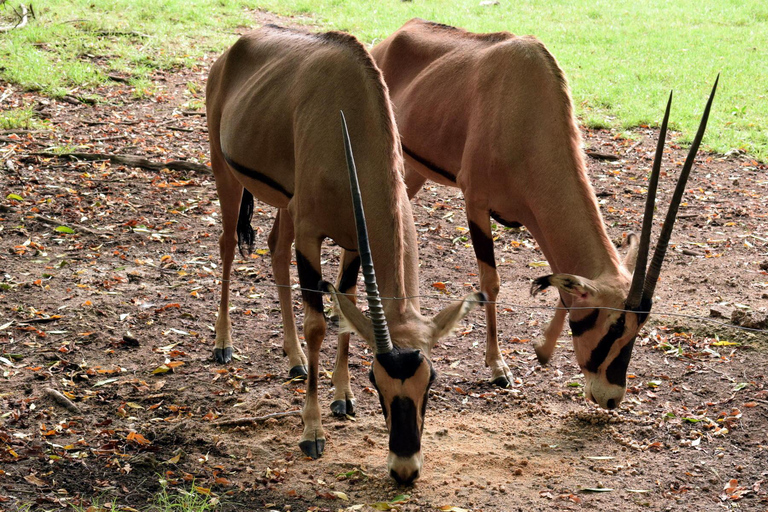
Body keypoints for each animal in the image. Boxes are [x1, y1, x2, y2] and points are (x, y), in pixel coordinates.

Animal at [204, 25, 480, 484]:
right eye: (376, 378)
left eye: (431, 380)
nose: (405, 468)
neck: (353, 118)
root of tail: (234, 50)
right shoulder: (312, 235)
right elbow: (318, 323)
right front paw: (312, 431)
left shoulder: (352, 242)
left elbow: (347, 309)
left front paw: (342, 397)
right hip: (224, 171)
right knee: (227, 244)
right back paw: (223, 343)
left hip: (286, 202)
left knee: (275, 249)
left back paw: (295, 359)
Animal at [372, 20, 720, 410]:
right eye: (614, 326)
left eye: (638, 327)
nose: (611, 398)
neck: (527, 116)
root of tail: (391, 39)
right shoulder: (475, 203)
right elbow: (491, 283)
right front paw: (498, 367)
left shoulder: (535, 219)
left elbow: (562, 283)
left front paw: (541, 350)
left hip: (414, 172)